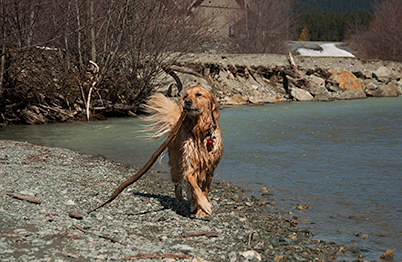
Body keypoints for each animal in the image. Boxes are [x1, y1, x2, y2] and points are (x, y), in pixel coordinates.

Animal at [144, 85, 223, 216]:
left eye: (199, 94)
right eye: (186, 95)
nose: (187, 101)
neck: (199, 131)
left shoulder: (210, 169)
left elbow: (204, 190)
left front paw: (201, 210)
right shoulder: (189, 166)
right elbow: (195, 187)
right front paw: (203, 204)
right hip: (176, 165)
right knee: (178, 187)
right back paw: (181, 204)